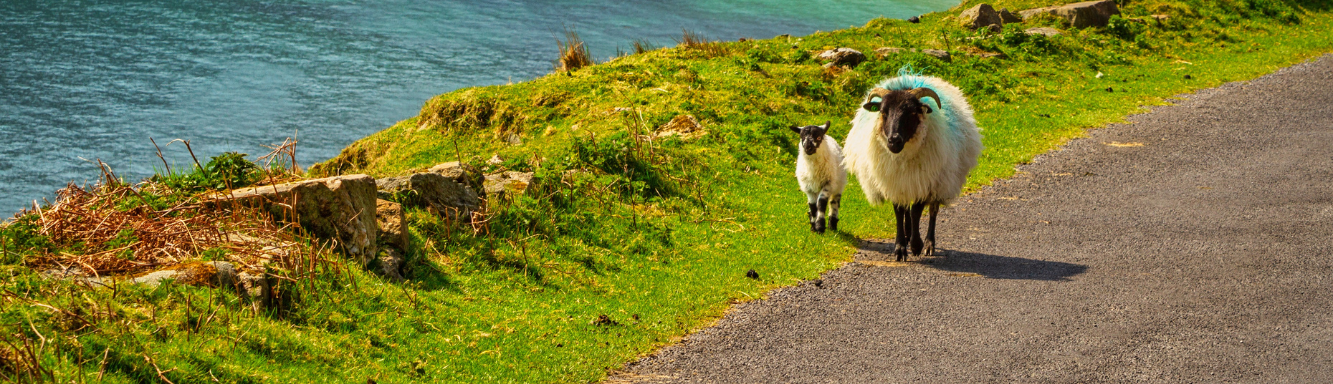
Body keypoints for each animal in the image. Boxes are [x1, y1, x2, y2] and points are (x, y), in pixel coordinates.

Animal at [842, 72, 981, 261]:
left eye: (912, 112)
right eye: (883, 112)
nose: (893, 140)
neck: (903, 156)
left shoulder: (926, 182)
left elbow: (916, 211)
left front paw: (916, 245)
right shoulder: (894, 182)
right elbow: (900, 212)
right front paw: (900, 247)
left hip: (941, 180)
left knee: (932, 211)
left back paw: (929, 244)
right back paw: (908, 234)